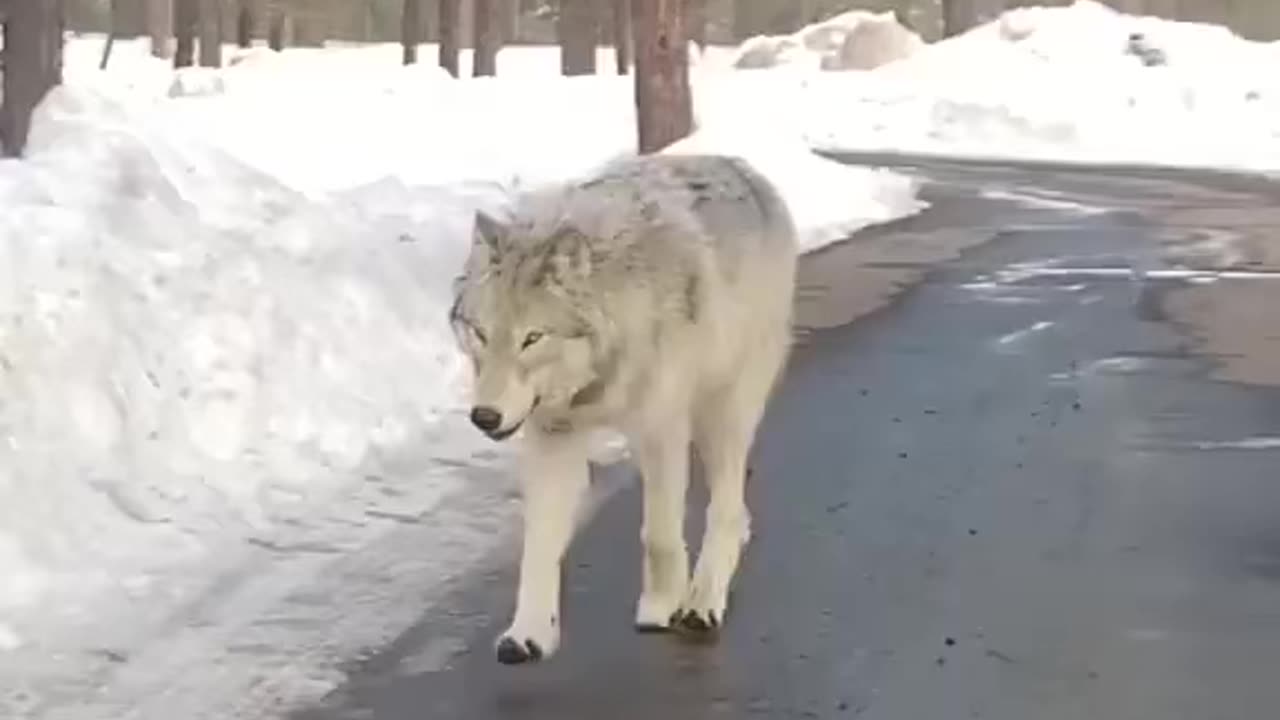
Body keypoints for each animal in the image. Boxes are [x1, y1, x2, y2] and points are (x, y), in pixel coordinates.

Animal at [445, 149, 793, 661]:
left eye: (532, 338)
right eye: (481, 334)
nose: (484, 417)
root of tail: (740, 166)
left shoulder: (660, 430)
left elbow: (660, 534)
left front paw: (662, 606)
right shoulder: (552, 437)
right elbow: (538, 547)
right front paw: (527, 634)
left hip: (721, 413)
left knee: (726, 508)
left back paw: (703, 602)